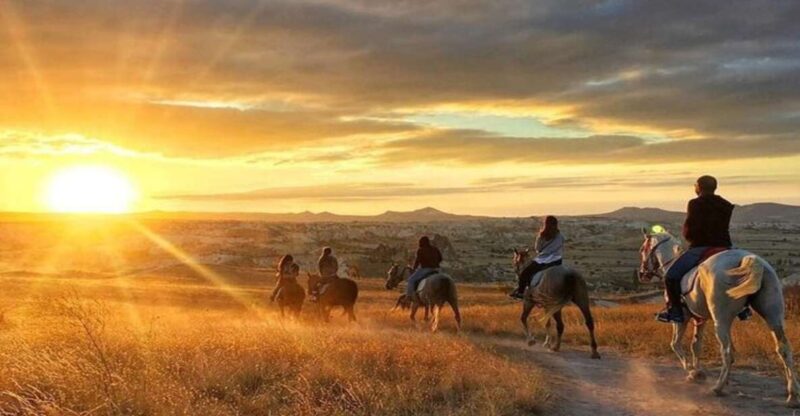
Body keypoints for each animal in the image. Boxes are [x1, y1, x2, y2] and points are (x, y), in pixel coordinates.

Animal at [638, 228, 799, 405]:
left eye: (642, 249)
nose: (642, 274)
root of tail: (750, 259)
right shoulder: (700, 318)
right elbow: (696, 345)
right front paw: (697, 372)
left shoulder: (682, 318)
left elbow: (675, 344)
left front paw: (691, 371)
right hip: (773, 315)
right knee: (784, 348)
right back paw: (793, 393)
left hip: (721, 320)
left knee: (728, 352)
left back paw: (718, 387)